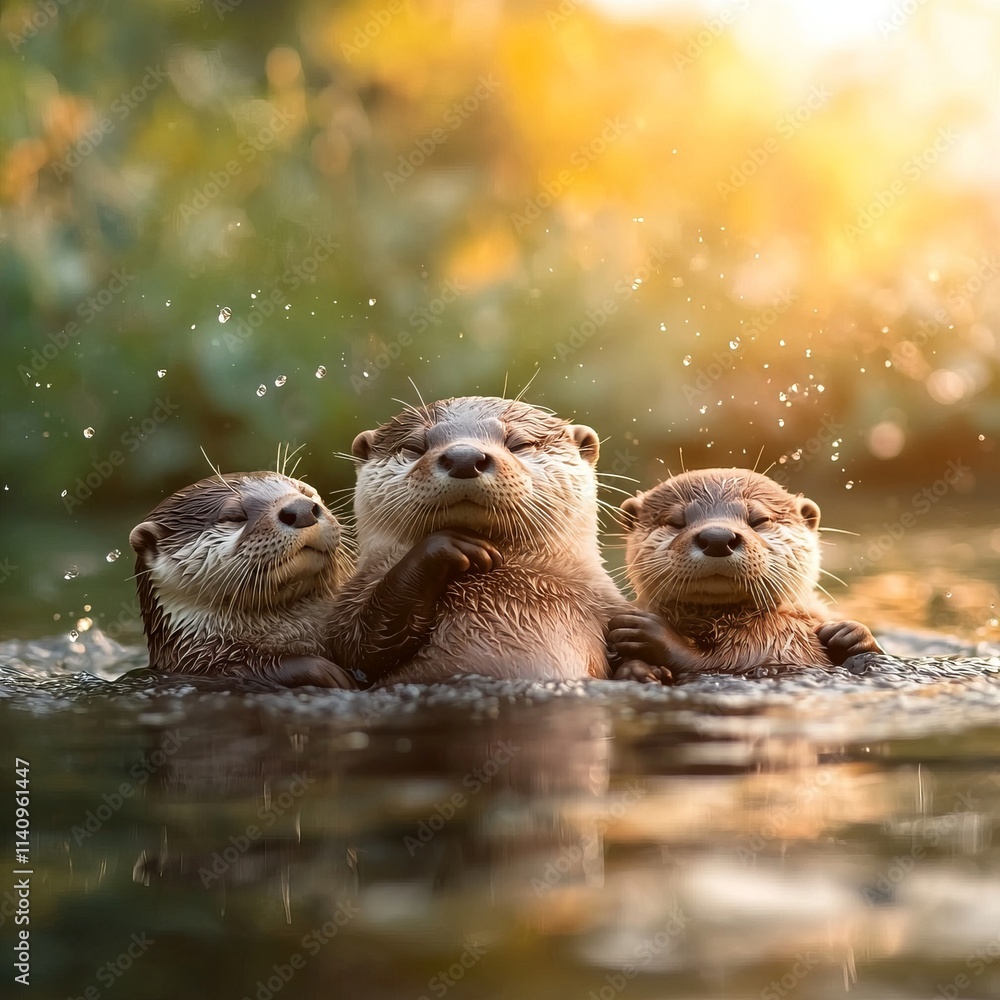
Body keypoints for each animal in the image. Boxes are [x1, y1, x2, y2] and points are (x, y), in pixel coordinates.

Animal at [327, 395, 629, 686]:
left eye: (520, 444)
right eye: (414, 447)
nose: (463, 457)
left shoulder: (608, 603)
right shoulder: (353, 599)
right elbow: (355, 648)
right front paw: (448, 545)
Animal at [608, 468, 882, 680]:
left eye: (759, 519)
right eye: (675, 522)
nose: (717, 537)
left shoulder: (772, 644)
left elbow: (718, 661)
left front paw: (849, 633)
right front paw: (638, 669)